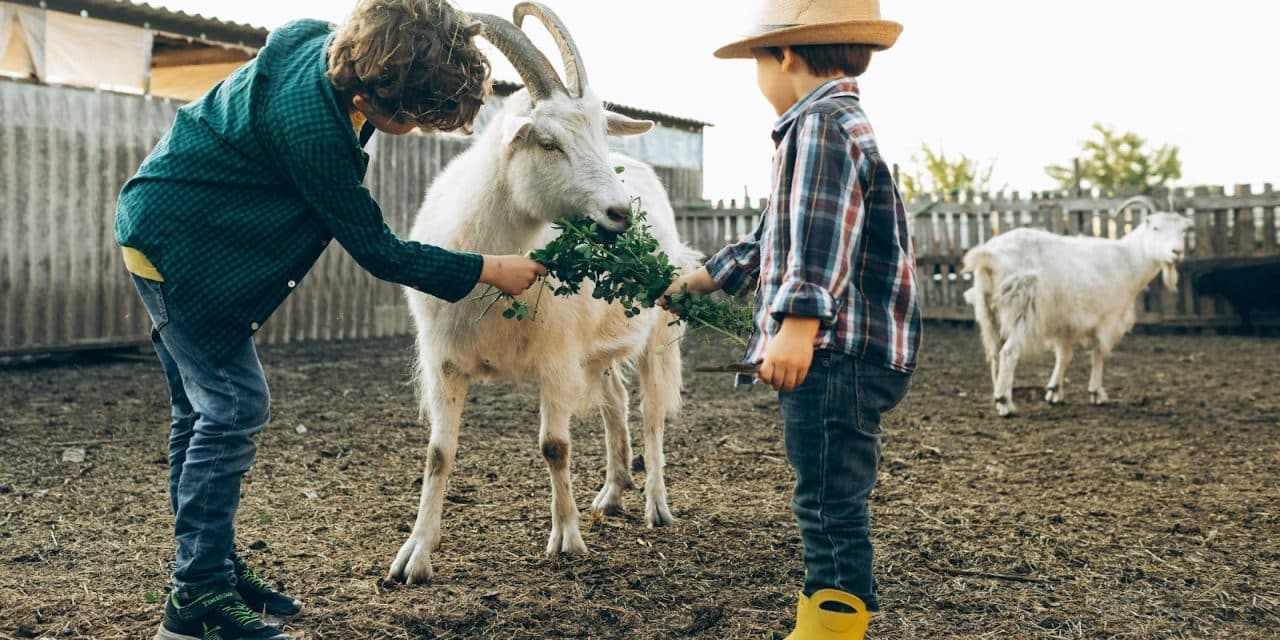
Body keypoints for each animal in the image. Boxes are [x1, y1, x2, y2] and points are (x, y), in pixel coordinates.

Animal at [386, 3, 701, 586]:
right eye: (548, 142)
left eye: (601, 132)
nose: (619, 215)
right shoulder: (445, 364)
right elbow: (439, 454)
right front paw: (414, 556)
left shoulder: (556, 360)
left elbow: (554, 446)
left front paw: (567, 540)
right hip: (596, 350)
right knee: (615, 399)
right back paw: (611, 493)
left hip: (655, 332)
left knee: (651, 413)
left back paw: (655, 505)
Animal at [962, 197, 1192, 417]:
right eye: (1156, 228)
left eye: (1183, 230)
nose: (1177, 252)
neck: (1128, 258)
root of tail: (989, 257)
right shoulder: (1108, 318)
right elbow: (1098, 353)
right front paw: (1096, 393)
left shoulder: (1065, 322)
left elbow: (1064, 356)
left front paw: (1055, 392)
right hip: (1024, 309)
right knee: (1009, 353)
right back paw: (1005, 403)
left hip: (988, 311)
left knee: (994, 354)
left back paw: (998, 398)